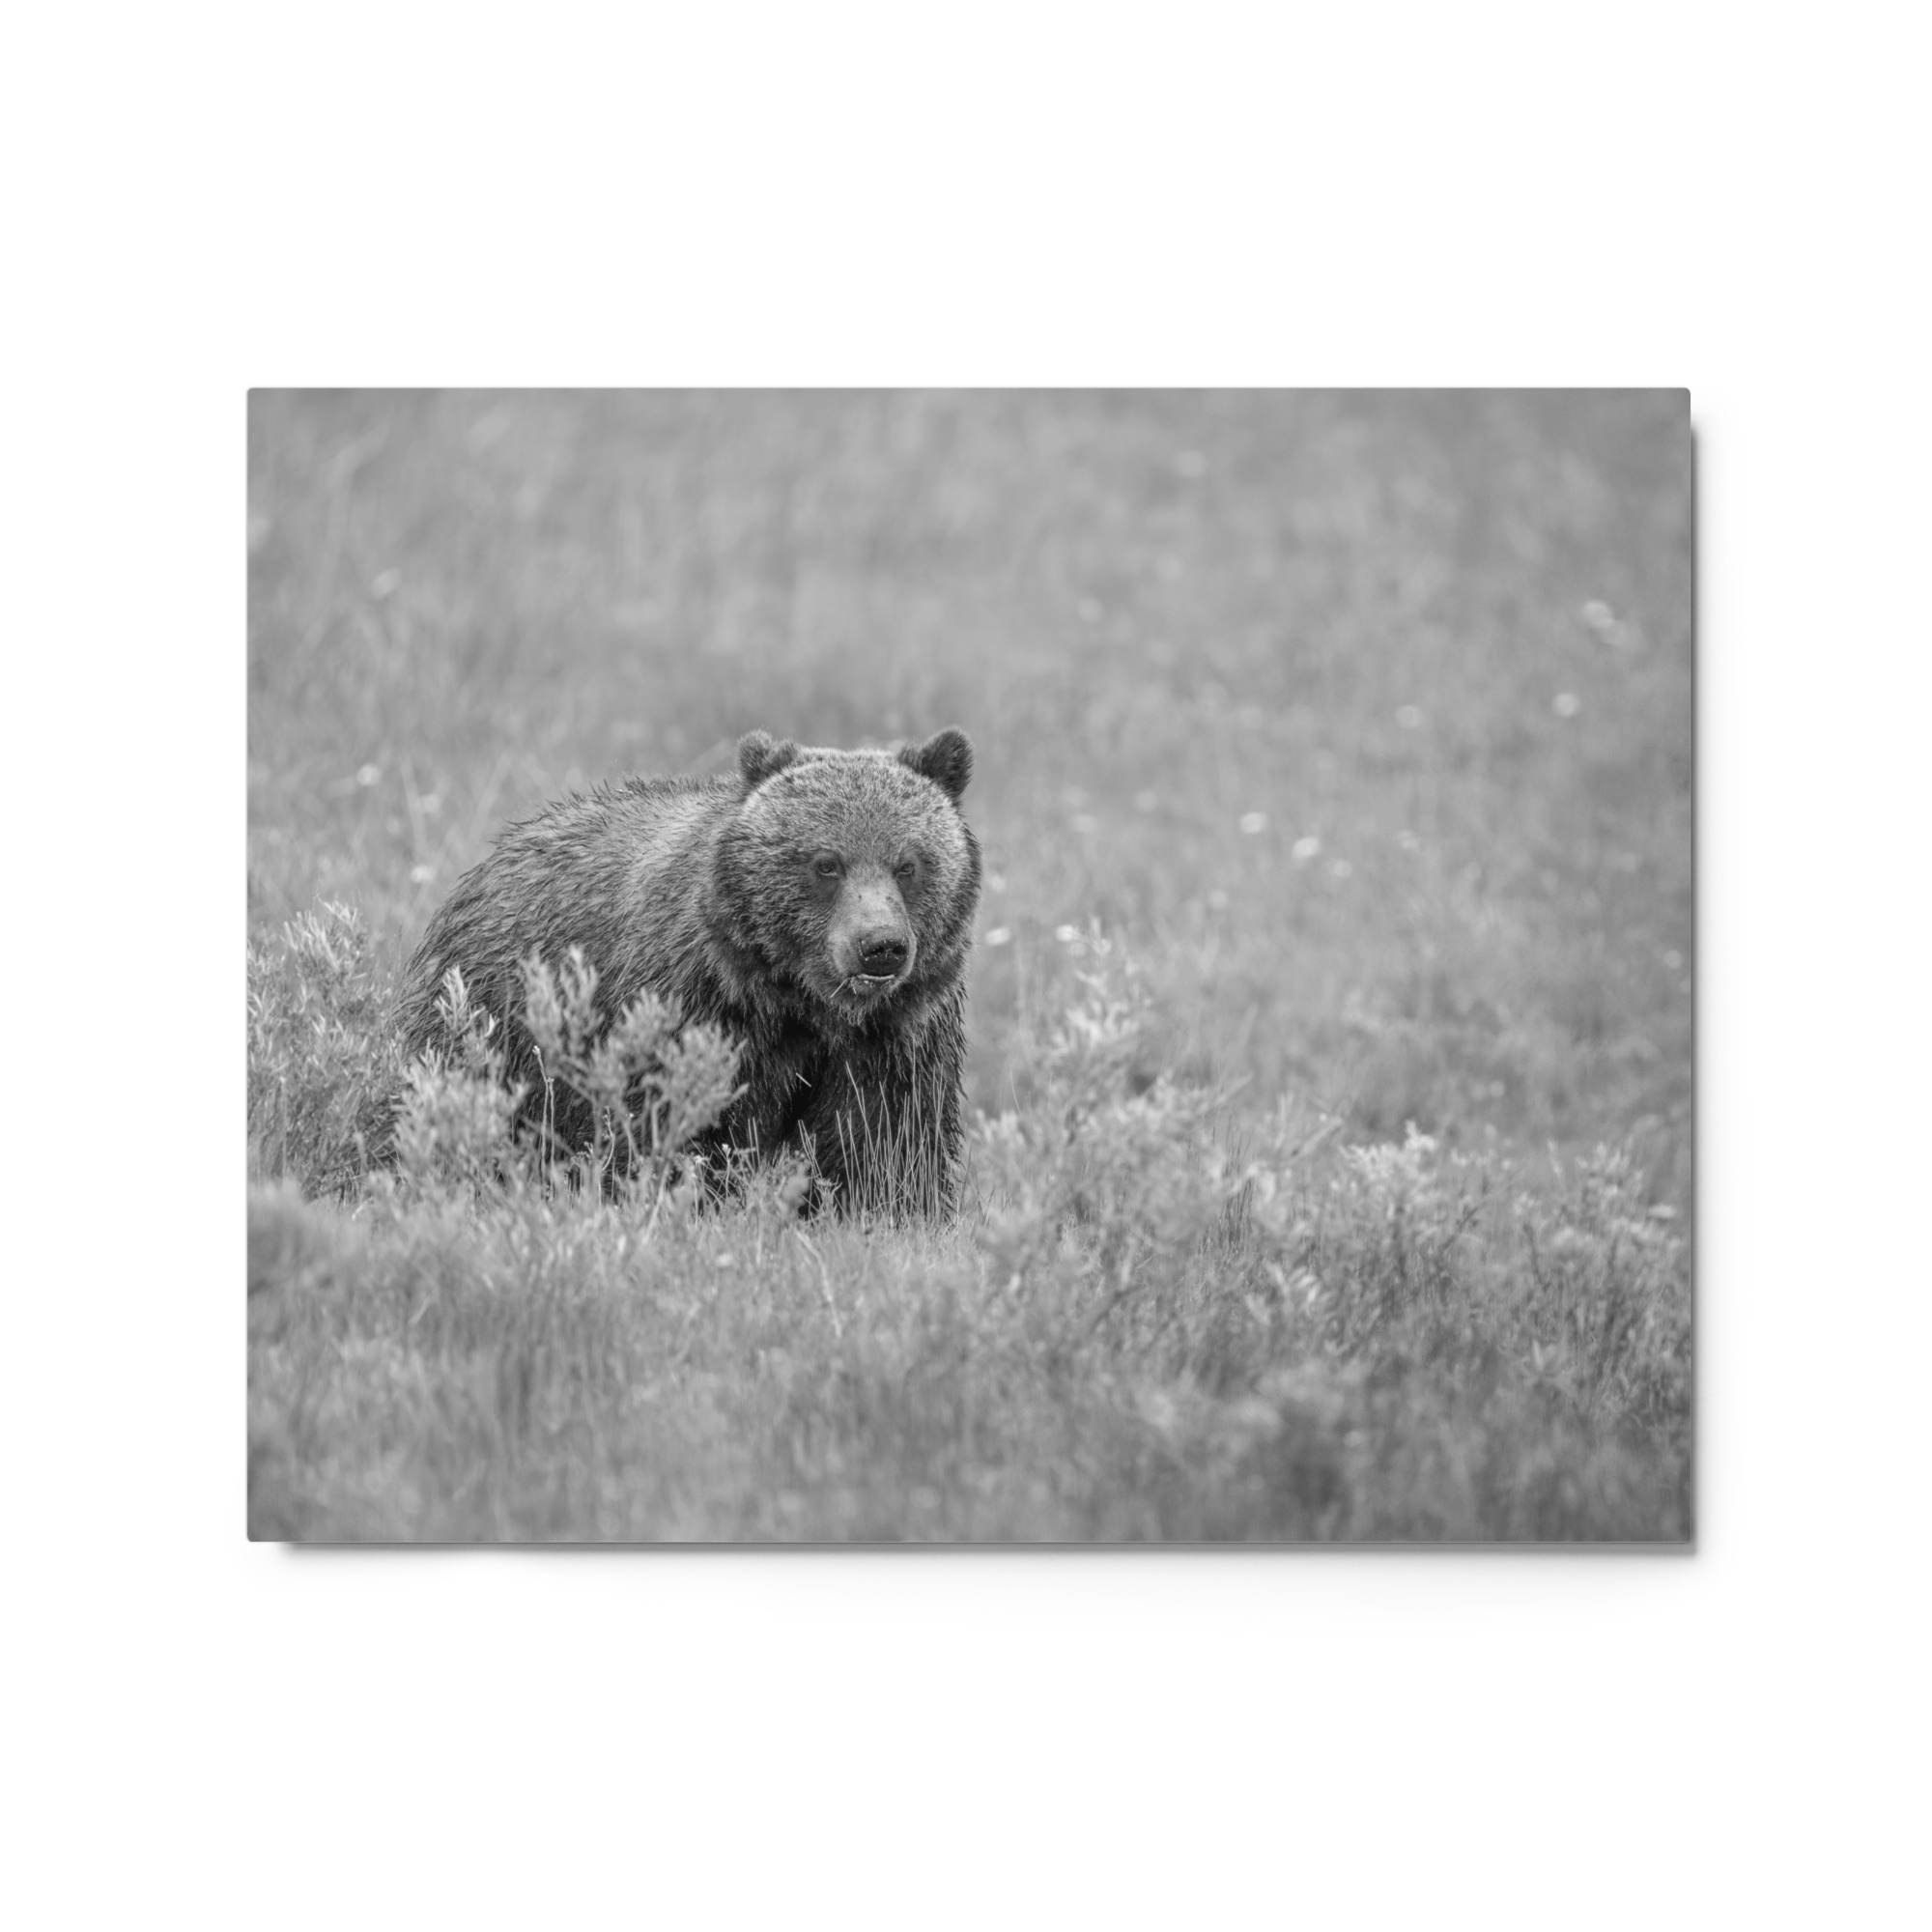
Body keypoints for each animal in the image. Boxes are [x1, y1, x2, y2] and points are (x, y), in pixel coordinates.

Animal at [393, 727, 981, 1215]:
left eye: (908, 864)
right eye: (826, 863)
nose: (880, 946)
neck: (800, 1002)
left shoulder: (896, 1036)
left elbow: (886, 1144)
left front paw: (887, 1214)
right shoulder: (693, 1005)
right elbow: (673, 1124)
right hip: (493, 1020)